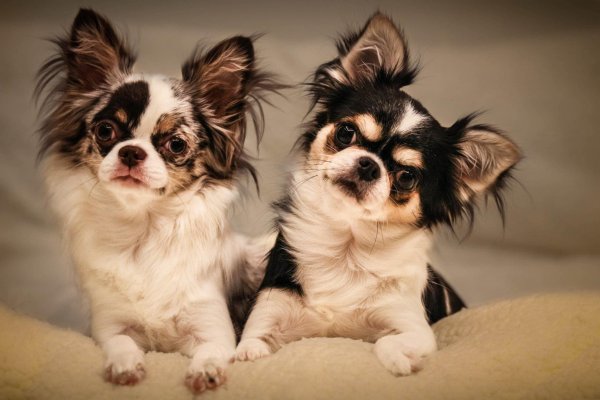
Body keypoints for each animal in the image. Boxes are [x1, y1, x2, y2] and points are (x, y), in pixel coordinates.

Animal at [35, 8, 279, 393]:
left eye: (175, 144)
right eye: (106, 131)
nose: (131, 152)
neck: (144, 229)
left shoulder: (215, 330)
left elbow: (211, 351)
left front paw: (206, 371)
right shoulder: (109, 326)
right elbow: (119, 342)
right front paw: (124, 365)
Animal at [236, 13, 521, 376]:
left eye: (407, 177)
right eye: (346, 133)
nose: (368, 165)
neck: (346, 248)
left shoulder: (414, 328)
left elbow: (389, 341)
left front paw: (400, 360)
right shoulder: (268, 311)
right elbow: (252, 344)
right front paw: (247, 357)